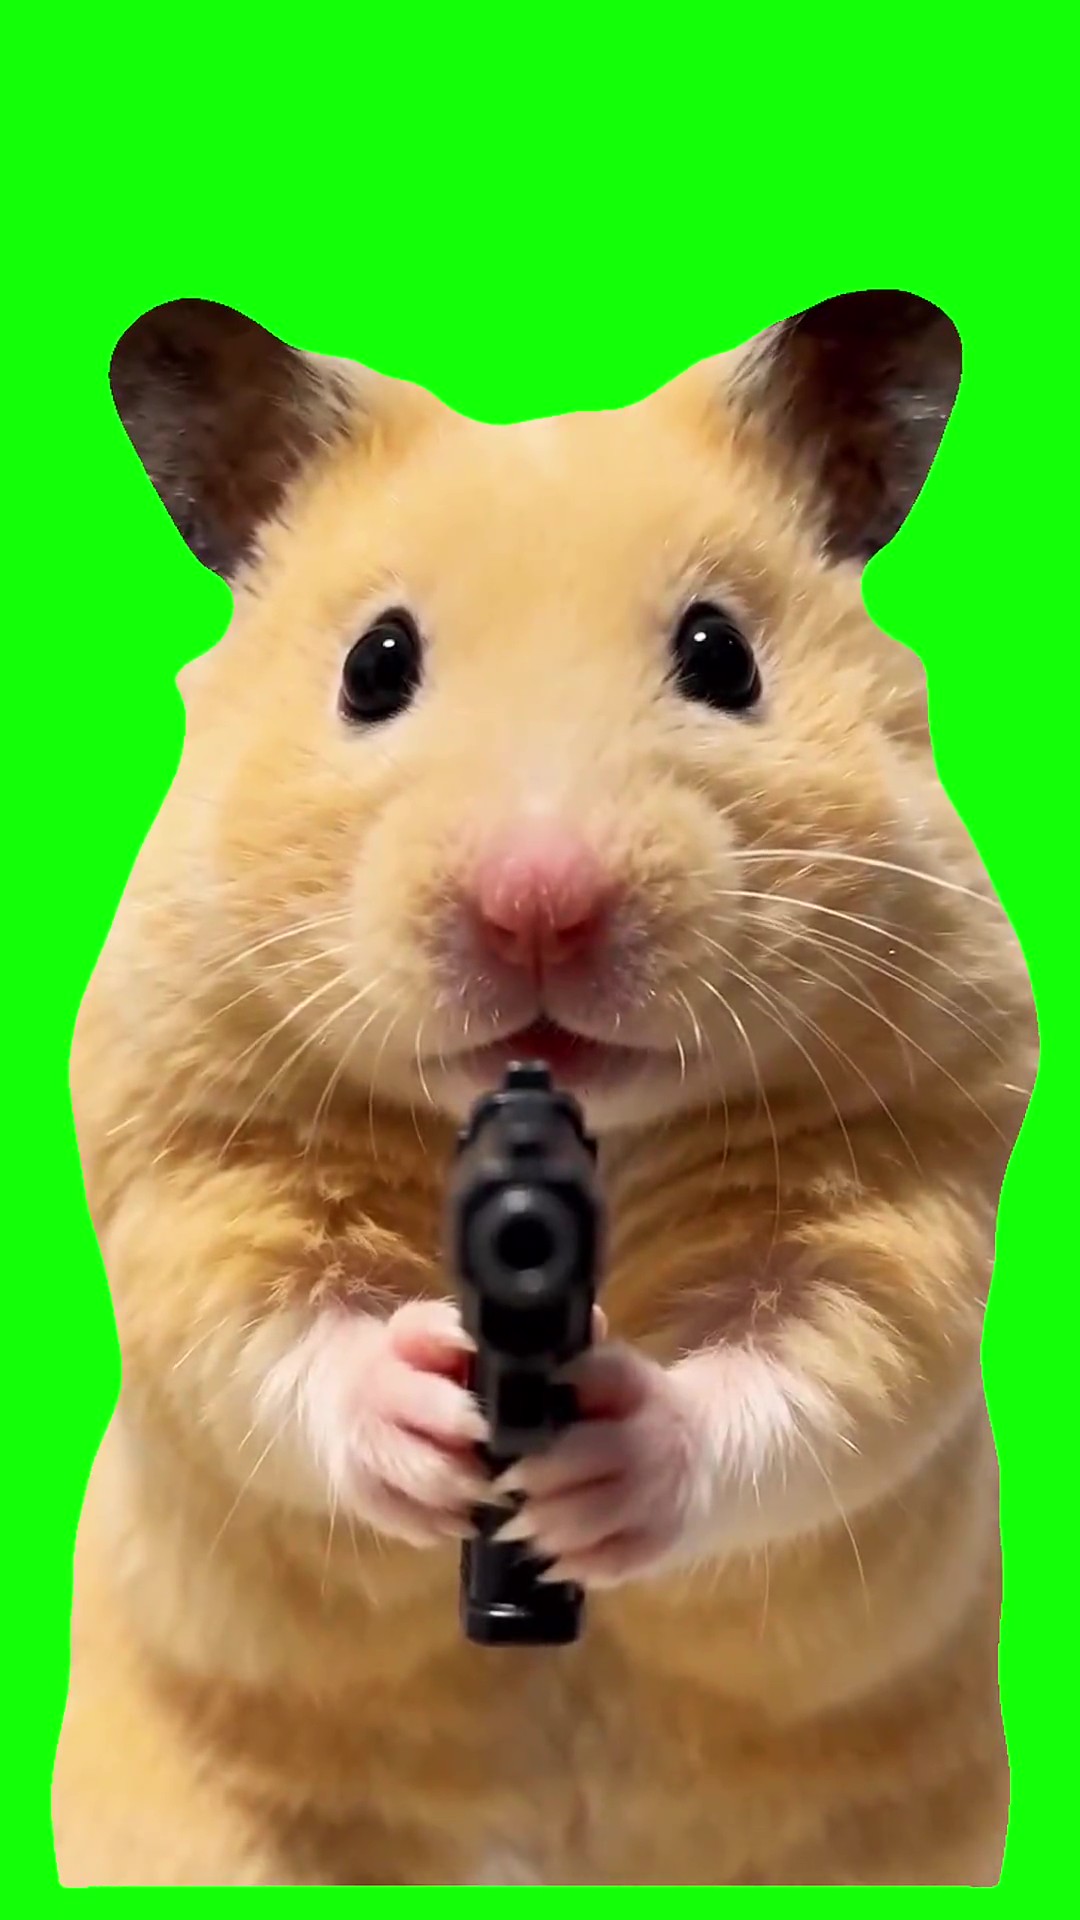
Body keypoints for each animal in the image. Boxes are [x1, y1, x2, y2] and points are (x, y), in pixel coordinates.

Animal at [53, 291, 1035, 1886]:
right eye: (374, 664)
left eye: (721, 654)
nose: (539, 905)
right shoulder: (195, 1149)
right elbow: (265, 1334)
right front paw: (425, 1405)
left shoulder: (903, 1174)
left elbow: (815, 1366)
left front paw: (608, 1455)